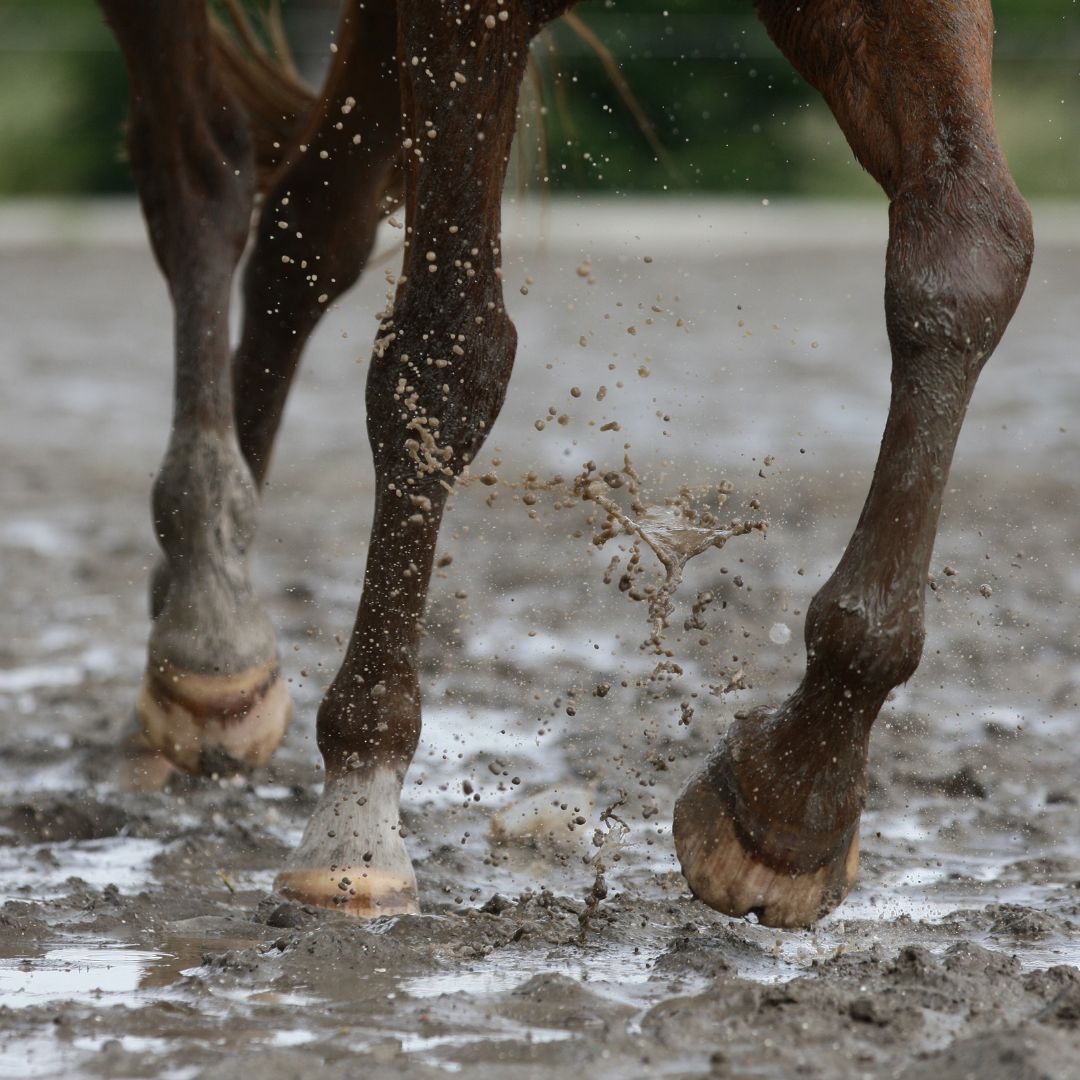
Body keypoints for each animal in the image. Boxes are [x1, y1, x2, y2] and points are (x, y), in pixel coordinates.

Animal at [95, 0, 1033, 929]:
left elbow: (967, 256)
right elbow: (446, 347)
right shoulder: (467, 19)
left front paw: (796, 795)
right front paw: (356, 821)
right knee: (201, 175)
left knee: (312, 224)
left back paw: (208, 611)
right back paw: (207, 622)